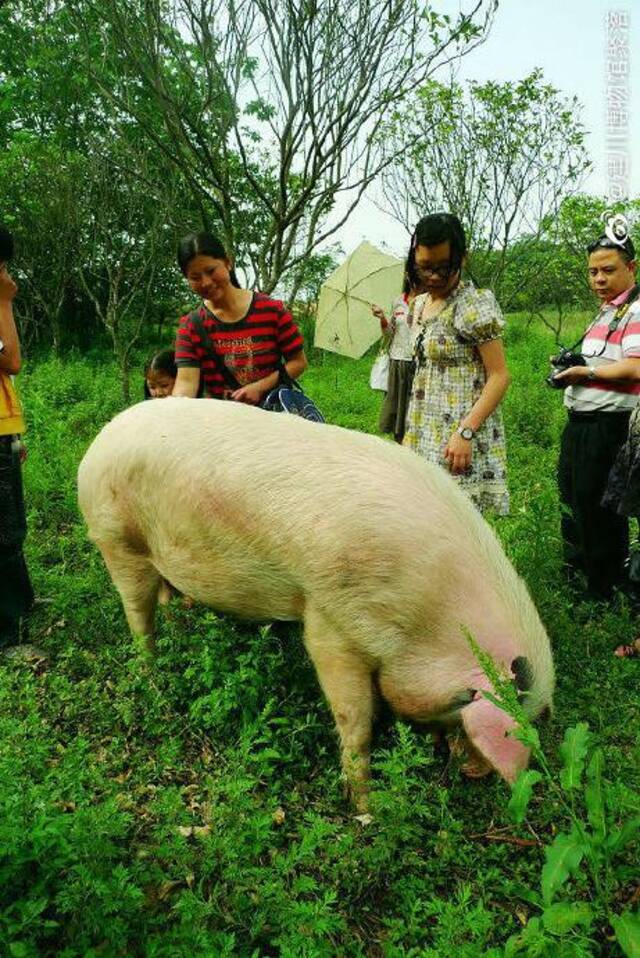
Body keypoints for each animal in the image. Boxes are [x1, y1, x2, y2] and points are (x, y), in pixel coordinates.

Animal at [77, 398, 552, 808]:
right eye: (463, 705)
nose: (475, 773)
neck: (430, 614)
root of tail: (99, 441)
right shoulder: (331, 613)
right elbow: (353, 716)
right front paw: (365, 806)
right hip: (114, 538)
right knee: (138, 615)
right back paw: (152, 673)